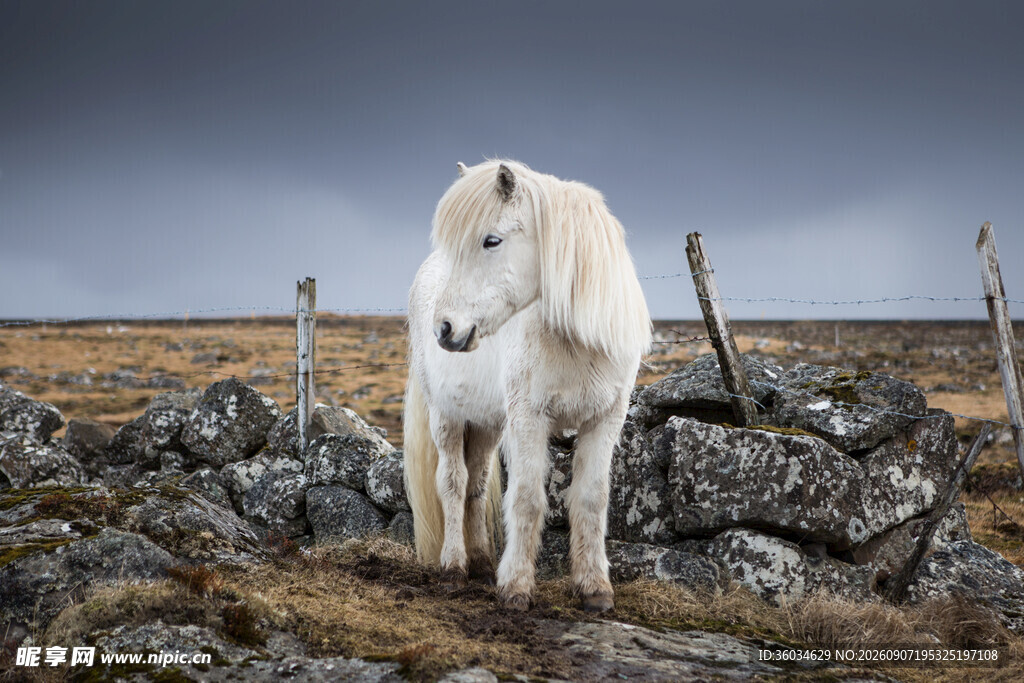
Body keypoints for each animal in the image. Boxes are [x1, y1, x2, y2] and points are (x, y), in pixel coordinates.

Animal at [403, 160, 651, 612]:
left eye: (492, 240)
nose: (445, 328)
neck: (575, 340)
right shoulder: (529, 419)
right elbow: (527, 498)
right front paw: (516, 587)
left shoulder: (604, 420)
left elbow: (591, 499)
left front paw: (595, 589)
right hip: (446, 416)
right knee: (452, 483)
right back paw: (454, 568)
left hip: (486, 424)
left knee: (476, 486)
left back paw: (483, 564)